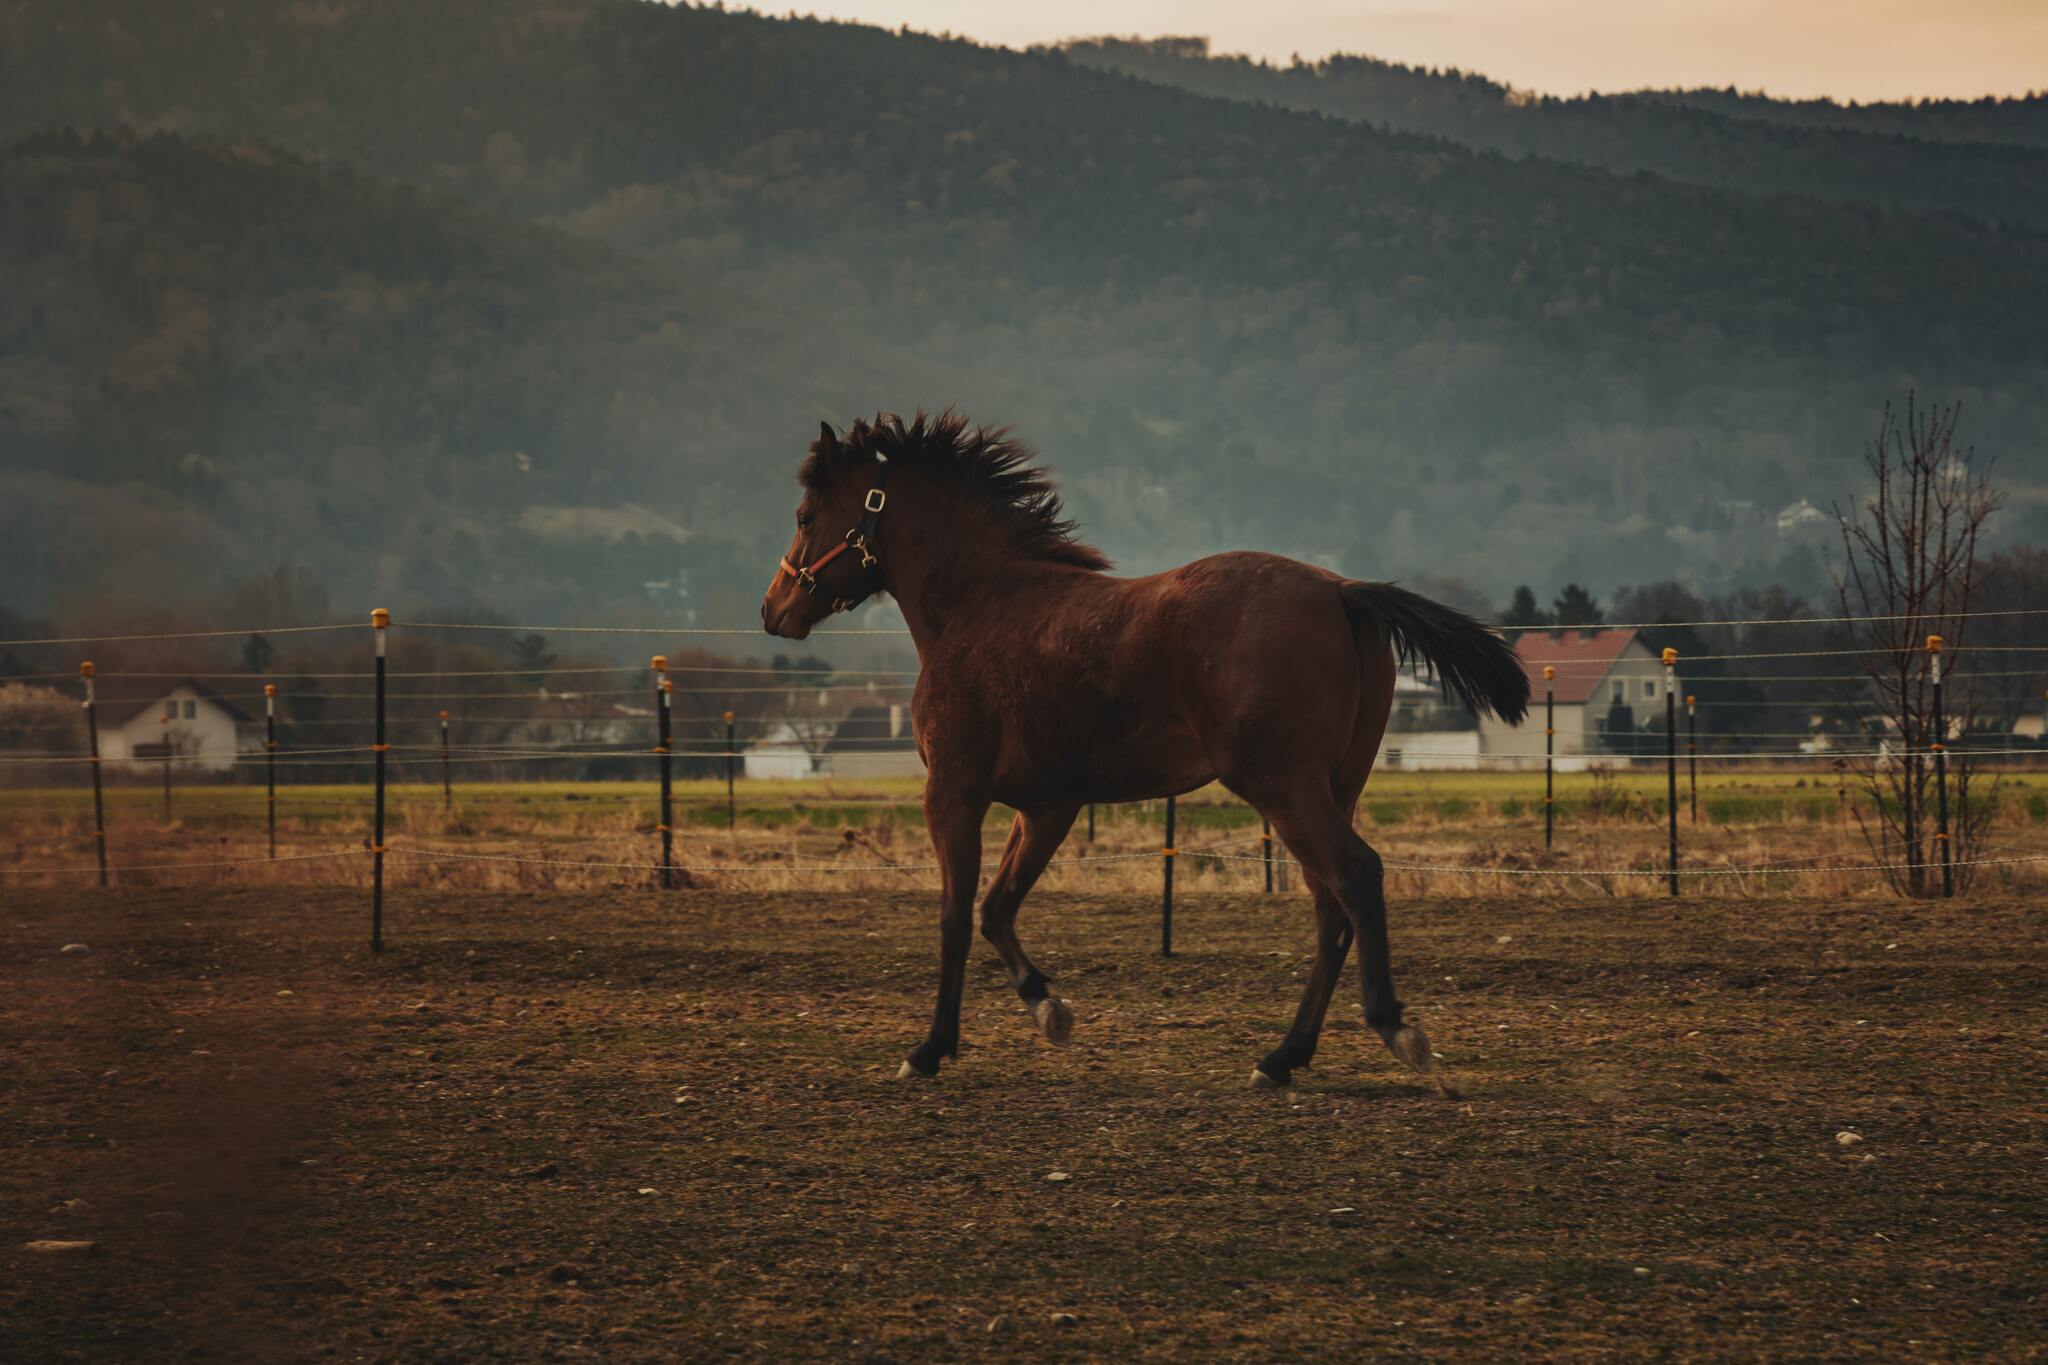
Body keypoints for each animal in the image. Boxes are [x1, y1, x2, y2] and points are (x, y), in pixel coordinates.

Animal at [761, 411, 1531, 1096]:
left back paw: (1394, 1031)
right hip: (1333, 787)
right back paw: (1282, 1058)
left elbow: (954, 915)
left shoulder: (954, 792)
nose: (773, 610)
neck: (979, 607)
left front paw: (928, 1050)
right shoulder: (1047, 807)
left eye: (804, 514)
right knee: (1329, 908)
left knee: (1357, 878)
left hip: (1285, 788)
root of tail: (1342, 591)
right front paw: (1050, 1009)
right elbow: (996, 908)